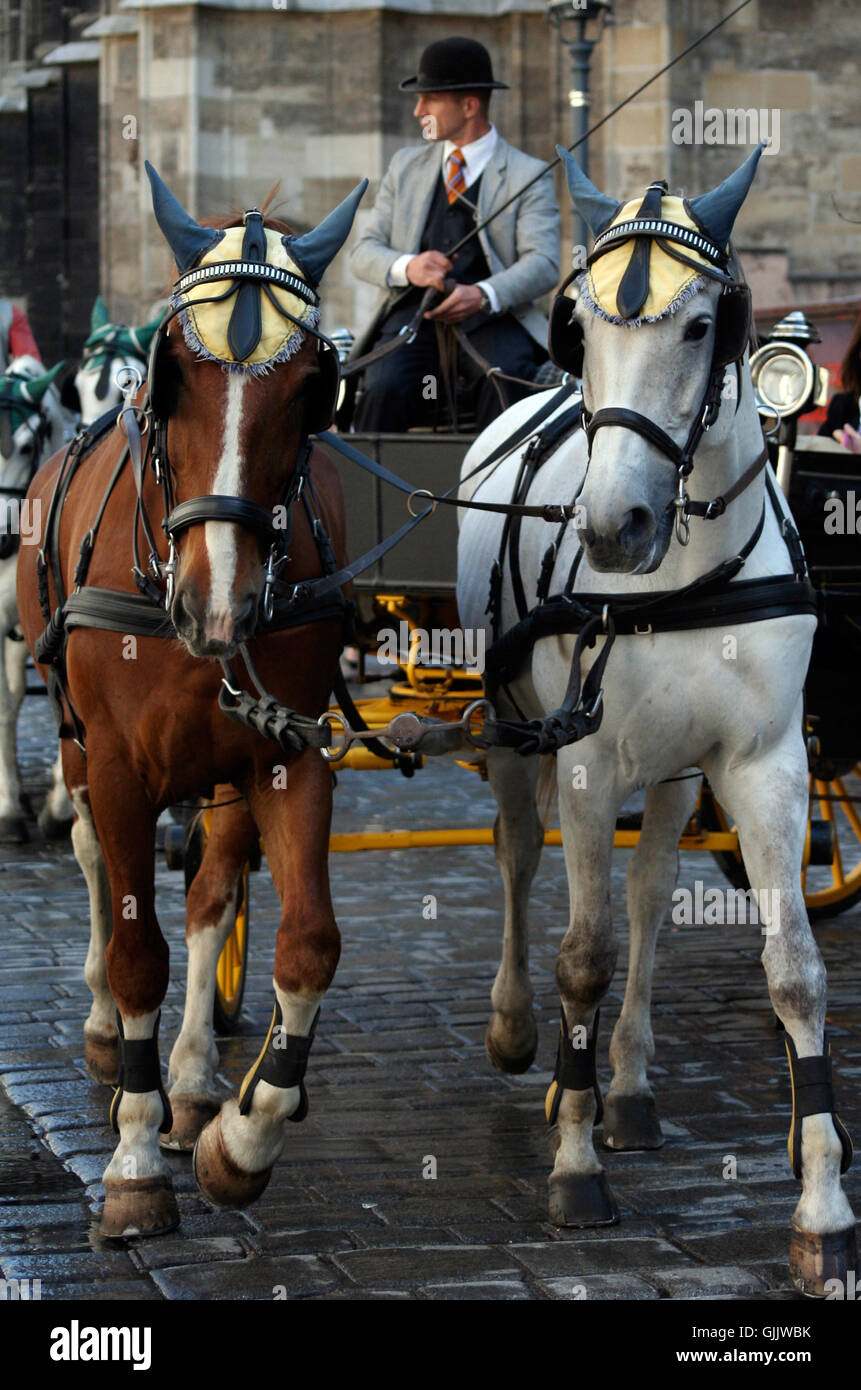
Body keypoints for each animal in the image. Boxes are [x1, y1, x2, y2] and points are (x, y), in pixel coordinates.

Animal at [17, 163, 366, 1237]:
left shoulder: (283, 752)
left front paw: (242, 1136)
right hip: (77, 735)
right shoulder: (119, 765)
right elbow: (138, 948)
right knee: (93, 855)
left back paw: (194, 1077)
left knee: (214, 891)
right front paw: (132, 1165)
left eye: (311, 391)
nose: (218, 604)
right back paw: (109, 1035)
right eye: (172, 375)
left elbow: (305, 943)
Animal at [456, 144, 857, 1297]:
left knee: (642, 899)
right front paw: (574, 1168)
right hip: (518, 734)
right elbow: (579, 953)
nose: (612, 525)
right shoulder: (585, 758)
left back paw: (619, 1084)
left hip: (677, 775)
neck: (680, 575)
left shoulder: (764, 763)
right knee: (520, 860)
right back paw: (529, 1042)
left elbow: (793, 970)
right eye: (580, 325)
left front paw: (821, 1209)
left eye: (699, 326)